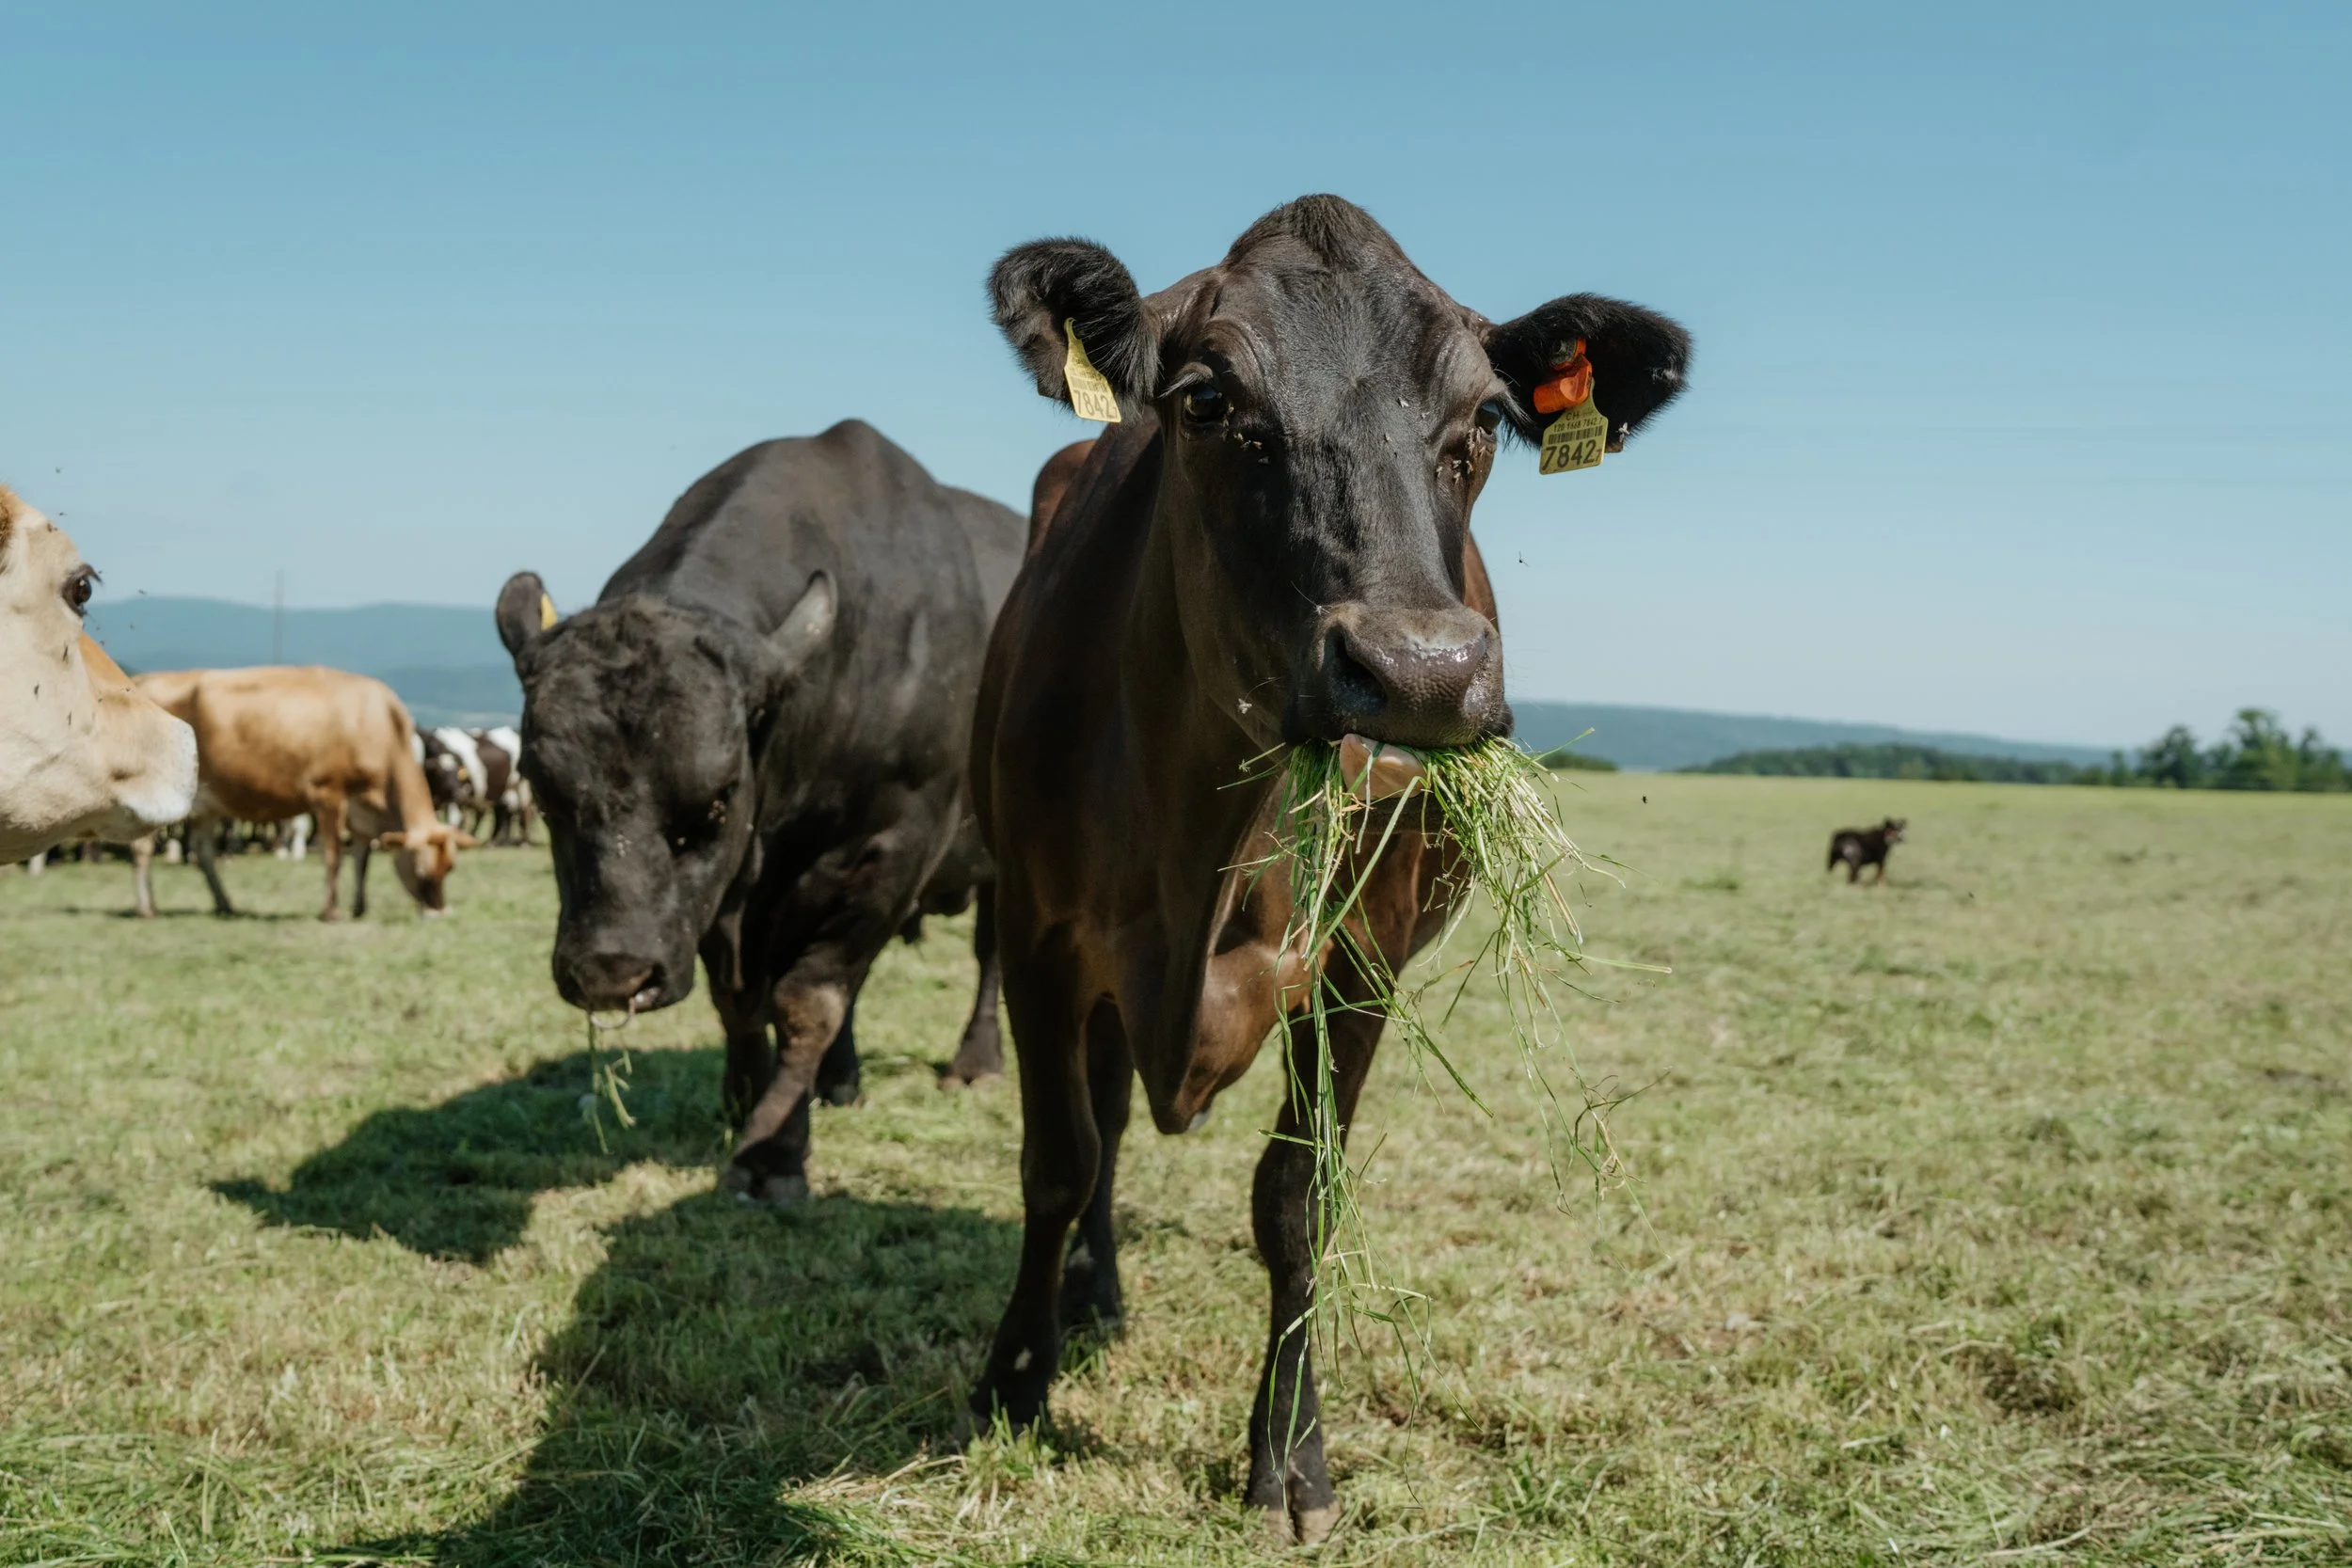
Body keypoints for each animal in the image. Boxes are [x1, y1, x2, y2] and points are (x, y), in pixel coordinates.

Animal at [129, 666, 476, 920]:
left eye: (450, 868)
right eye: (421, 868)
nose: (438, 912)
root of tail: (140, 681)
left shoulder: (360, 812)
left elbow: (362, 860)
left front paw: (359, 907)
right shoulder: (328, 794)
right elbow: (334, 855)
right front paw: (331, 911)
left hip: (207, 803)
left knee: (203, 852)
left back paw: (224, 903)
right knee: (143, 848)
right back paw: (148, 908)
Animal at [493, 418, 1024, 1206]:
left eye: (716, 797)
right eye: (543, 789)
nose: (611, 973)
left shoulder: (894, 846)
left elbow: (809, 999)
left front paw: (771, 1152)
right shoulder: (727, 896)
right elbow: (739, 1000)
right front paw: (743, 1100)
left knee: (988, 953)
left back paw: (975, 1061)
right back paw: (840, 1081)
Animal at [964, 196, 1690, 1542]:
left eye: (1484, 421)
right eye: (1204, 399)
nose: (1418, 672)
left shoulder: (1359, 961)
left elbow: (1297, 1200)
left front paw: (1291, 1456)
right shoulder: (1037, 930)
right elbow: (1057, 1159)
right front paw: (1012, 1378)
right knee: (1102, 1120)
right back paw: (1091, 1289)